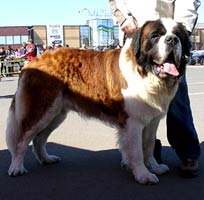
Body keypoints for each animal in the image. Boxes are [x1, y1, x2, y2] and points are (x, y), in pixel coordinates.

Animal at [6, 18, 191, 184]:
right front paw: (143, 175)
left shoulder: (152, 121)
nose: (172, 39)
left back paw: (46, 159)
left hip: (55, 114)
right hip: (41, 109)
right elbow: (137, 151)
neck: (145, 72)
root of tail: (34, 61)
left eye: (178, 36)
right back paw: (16, 167)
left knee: (39, 139)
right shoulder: (133, 122)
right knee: (22, 140)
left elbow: (148, 145)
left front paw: (154, 167)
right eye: (155, 35)